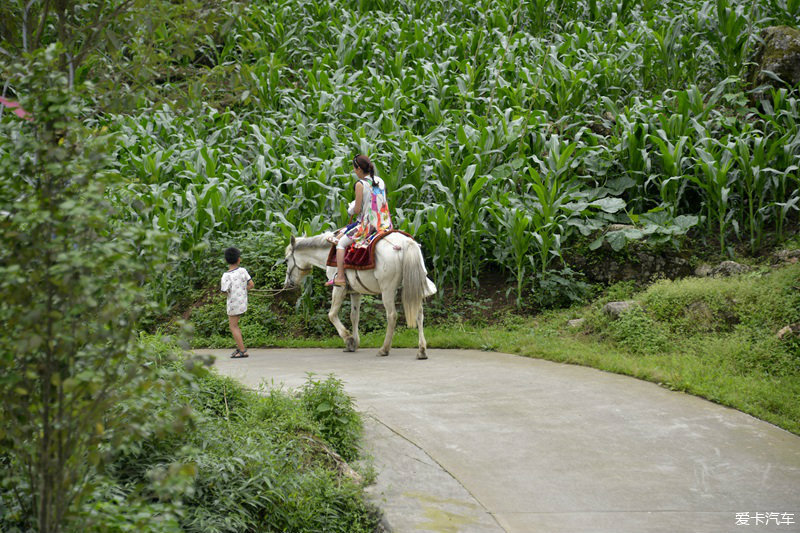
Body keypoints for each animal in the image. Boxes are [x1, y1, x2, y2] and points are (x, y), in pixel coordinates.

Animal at [284, 232, 438, 360]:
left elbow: (332, 314)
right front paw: (354, 343)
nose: (287, 283)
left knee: (392, 315)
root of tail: (406, 243)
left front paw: (348, 339)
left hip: (388, 290)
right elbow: (354, 316)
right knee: (419, 314)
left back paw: (384, 349)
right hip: (414, 287)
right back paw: (421, 351)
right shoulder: (355, 292)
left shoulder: (339, 289)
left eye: (286, 260)